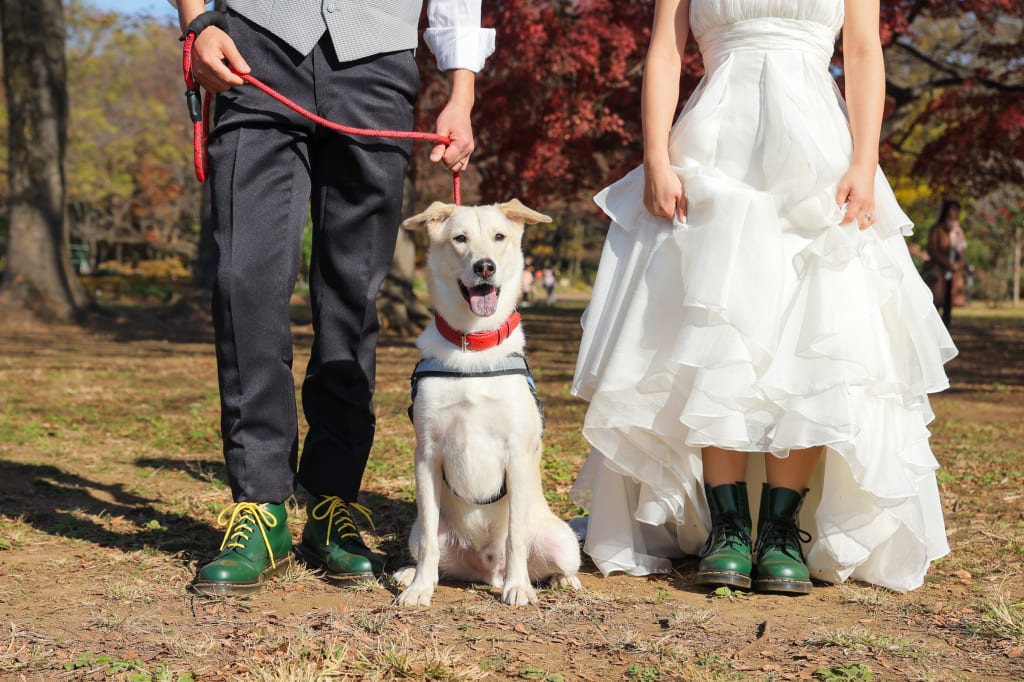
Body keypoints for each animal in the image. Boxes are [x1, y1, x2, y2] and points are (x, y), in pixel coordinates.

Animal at [393, 197, 581, 606]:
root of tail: (486, 572)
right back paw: (411, 574)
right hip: (421, 532)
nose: (485, 266)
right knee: (432, 550)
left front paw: (519, 587)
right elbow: (430, 539)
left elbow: (516, 538)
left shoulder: (518, 455)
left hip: (563, 540)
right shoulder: (427, 454)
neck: (473, 344)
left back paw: (556, 580)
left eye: (499, 237)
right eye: (460, 238)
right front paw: (419, 588)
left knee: (550, 560)